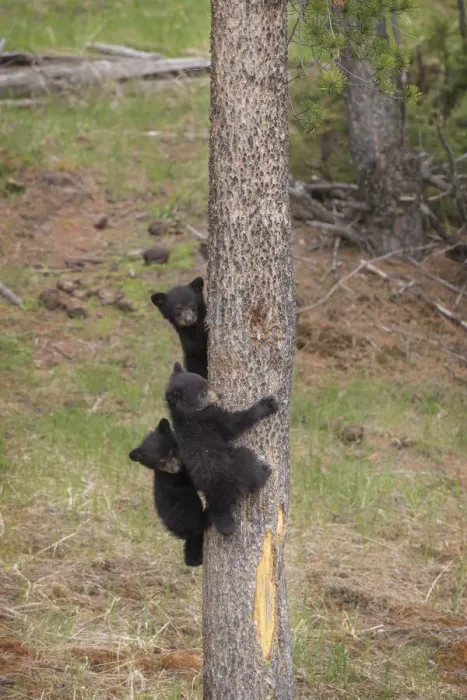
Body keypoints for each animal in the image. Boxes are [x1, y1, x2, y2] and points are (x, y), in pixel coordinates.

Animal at [165, 362, 278, 536]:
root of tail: (219, 500)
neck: (185, 416)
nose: (220, 394)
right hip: (237, 465)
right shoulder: (211, 418)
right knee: (249, 467)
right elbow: (234, 423)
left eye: (206, 382)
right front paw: (267, 405)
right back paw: (265, 471)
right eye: (202, 392)